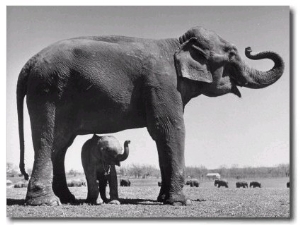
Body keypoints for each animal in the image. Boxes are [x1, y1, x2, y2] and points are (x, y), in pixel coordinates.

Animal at [17, 25, 284, 206]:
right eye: (231, 54)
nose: (250, 48)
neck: (178, 43)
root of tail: (29, 63)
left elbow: (161, 135)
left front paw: (164, 198)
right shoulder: (162, 84)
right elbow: (171, 128)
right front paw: (180, 202)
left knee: (60, 144)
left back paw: (67, 198)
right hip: (48, 92)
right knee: (48, 140)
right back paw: (48, 202)